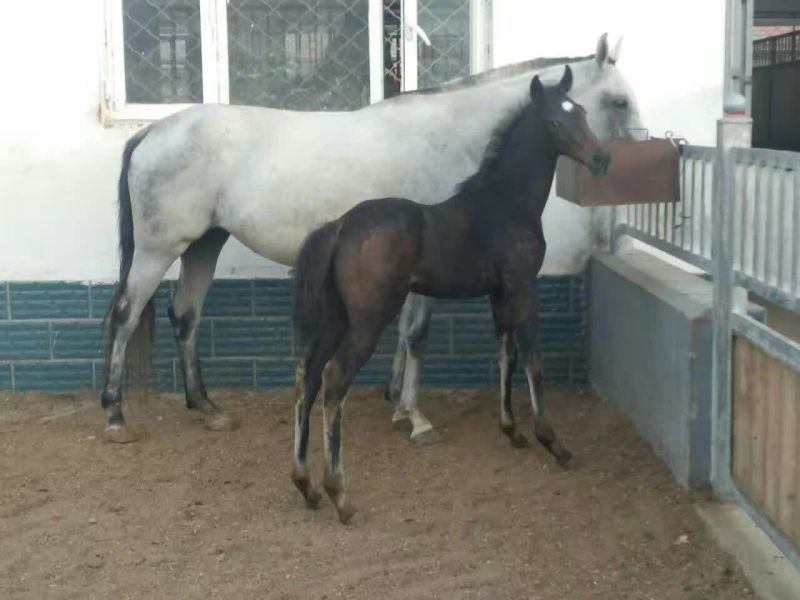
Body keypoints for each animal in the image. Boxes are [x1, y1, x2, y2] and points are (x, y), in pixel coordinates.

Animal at [101, 33, 641, 444]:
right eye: (617, 101)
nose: (611, 162)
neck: (451, 137)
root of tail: (153, 132)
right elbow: (417, 333)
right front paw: (416, 417)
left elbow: (405, 333)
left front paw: (396, 400)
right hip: (157, 250)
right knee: (126, 315)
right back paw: (115, 416)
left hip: (202, 245)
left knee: (185, 315)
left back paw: (205, 406)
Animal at [292, 66, 610, 523]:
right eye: (554, 122)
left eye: (580, 112)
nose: (603, 159)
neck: (506, 203)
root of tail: (339, 227)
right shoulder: (522, 285)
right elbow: (533, 358)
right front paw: (553, 442)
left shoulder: (499, 293)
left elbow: (505, 354)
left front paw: (512, 431)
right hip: (368, 320)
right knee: (335, 380)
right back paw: (340, 495)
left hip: (336, 318)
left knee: (309, 374)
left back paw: (306, 486)